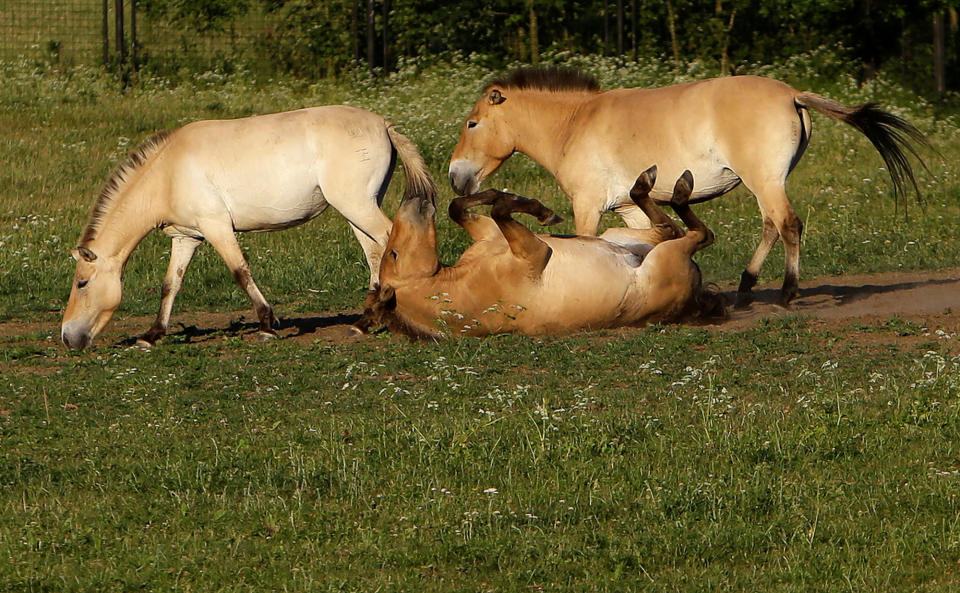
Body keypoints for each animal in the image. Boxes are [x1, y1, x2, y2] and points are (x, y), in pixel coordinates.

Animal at [61, 104, 436, 350]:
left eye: (82, 283)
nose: (67, 337)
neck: (167, 172)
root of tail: (383, 124)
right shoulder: (186, 238)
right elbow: (171, 285)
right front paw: (152, 335)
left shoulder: (216, 227)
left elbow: (240, 272)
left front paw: (268, 325)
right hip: (356, 210)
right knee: (375, 254)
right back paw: (363, 323)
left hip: (357, 206)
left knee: (391, 245)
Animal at [360, 164, 720, 338]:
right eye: (393, 255)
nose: (413, 198)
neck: (460, 284)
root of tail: (695, 298)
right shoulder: (534, 252)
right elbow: (500, 210)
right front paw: (541, 211)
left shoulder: (491, 237)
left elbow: (461, 206)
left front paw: (506, 196)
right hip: (665, 255)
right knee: (698, 234)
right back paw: (676, 187)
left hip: (623, 235)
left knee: (668, 226)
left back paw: (648, 183)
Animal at [450, 65, 928, 306]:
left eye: (472, 124)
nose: (456, 177)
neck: (574, 124)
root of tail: (792, 93)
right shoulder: (628, 209)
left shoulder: (588, 205)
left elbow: (586, 242)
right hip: (765, 183)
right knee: (771, 225)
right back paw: (746, 286)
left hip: (765, 180)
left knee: (787, 224)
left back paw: (787, 293)